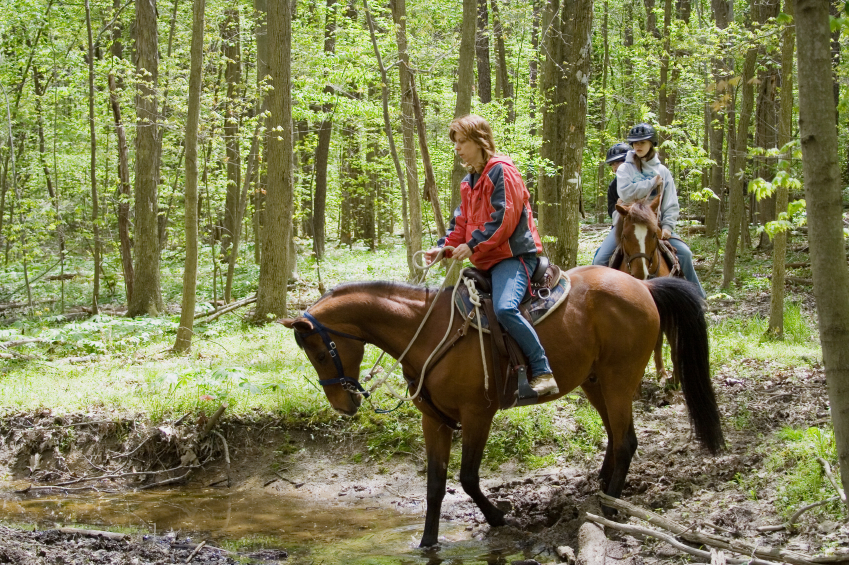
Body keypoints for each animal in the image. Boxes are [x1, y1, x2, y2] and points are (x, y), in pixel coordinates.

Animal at [284, 268, 724, 548]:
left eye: (320, 353)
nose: (344, 405)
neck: (426, 333)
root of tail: (643, 286)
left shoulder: (478, 414)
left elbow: (467, 479)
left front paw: (498, 516)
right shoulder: (434, 421)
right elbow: (434, 484)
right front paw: (427, 542)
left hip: (619, 378)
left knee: (627, 441)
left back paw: (610, 509)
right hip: (594, 380)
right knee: (616, 439)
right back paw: (602, 491)